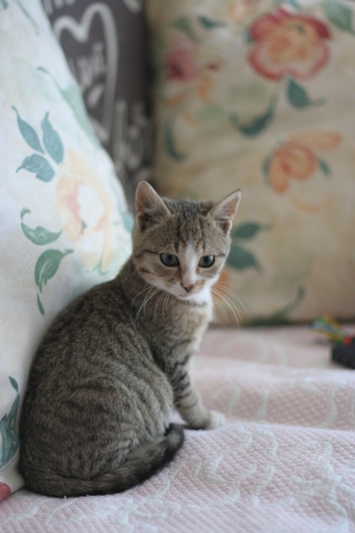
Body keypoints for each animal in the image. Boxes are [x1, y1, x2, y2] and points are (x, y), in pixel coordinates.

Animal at [19, 181, 242, 496]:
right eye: (169, 258)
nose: (188, 284)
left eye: (207, 260)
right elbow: (187, 396)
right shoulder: (172, 359)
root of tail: (32, 467)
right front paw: (205, 418)